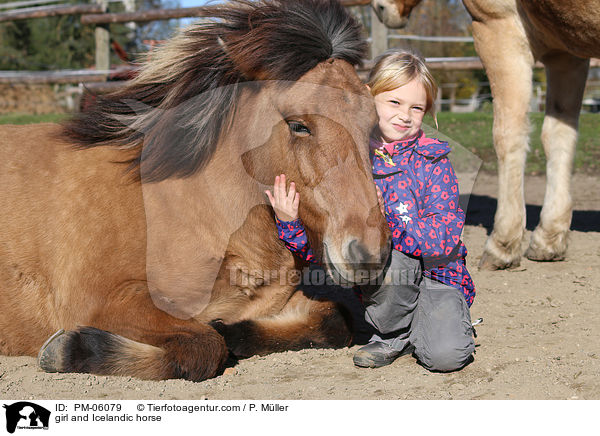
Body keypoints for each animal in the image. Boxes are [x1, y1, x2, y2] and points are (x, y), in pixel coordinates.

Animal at [0, 0, 390, 382]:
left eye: (373, 125)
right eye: (298, 125)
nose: (369, 254)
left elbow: (333, 321)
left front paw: (233, 330)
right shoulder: (101, 300)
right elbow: (203, 346)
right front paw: (66, 350)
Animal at [370, 0, 600, 270]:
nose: (381, 8)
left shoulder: (498, 28)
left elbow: (508, 134)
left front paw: (504, 242)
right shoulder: (564, 53)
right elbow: (558, 136)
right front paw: (549, 238)